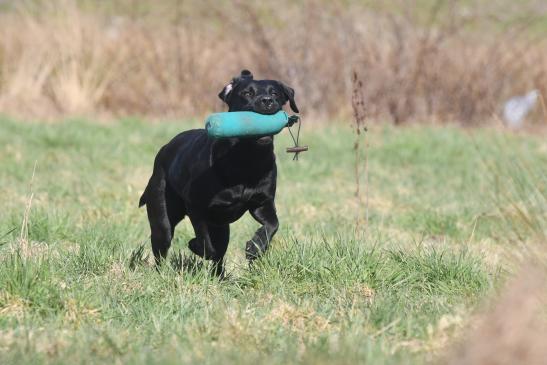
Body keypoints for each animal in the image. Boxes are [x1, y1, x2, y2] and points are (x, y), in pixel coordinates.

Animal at [137, 69, 300, 272]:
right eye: (247, 93)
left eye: (275, 93)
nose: (267, 100)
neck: (247, 159)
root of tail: (164, 149)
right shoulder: (196, 206)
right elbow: (205, 241)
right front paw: (196, 246)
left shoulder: (263, 203)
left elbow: (273, 224)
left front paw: (255, 247)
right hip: (162, 215)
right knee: (163, 245)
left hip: (223, 227)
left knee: (219, 254)